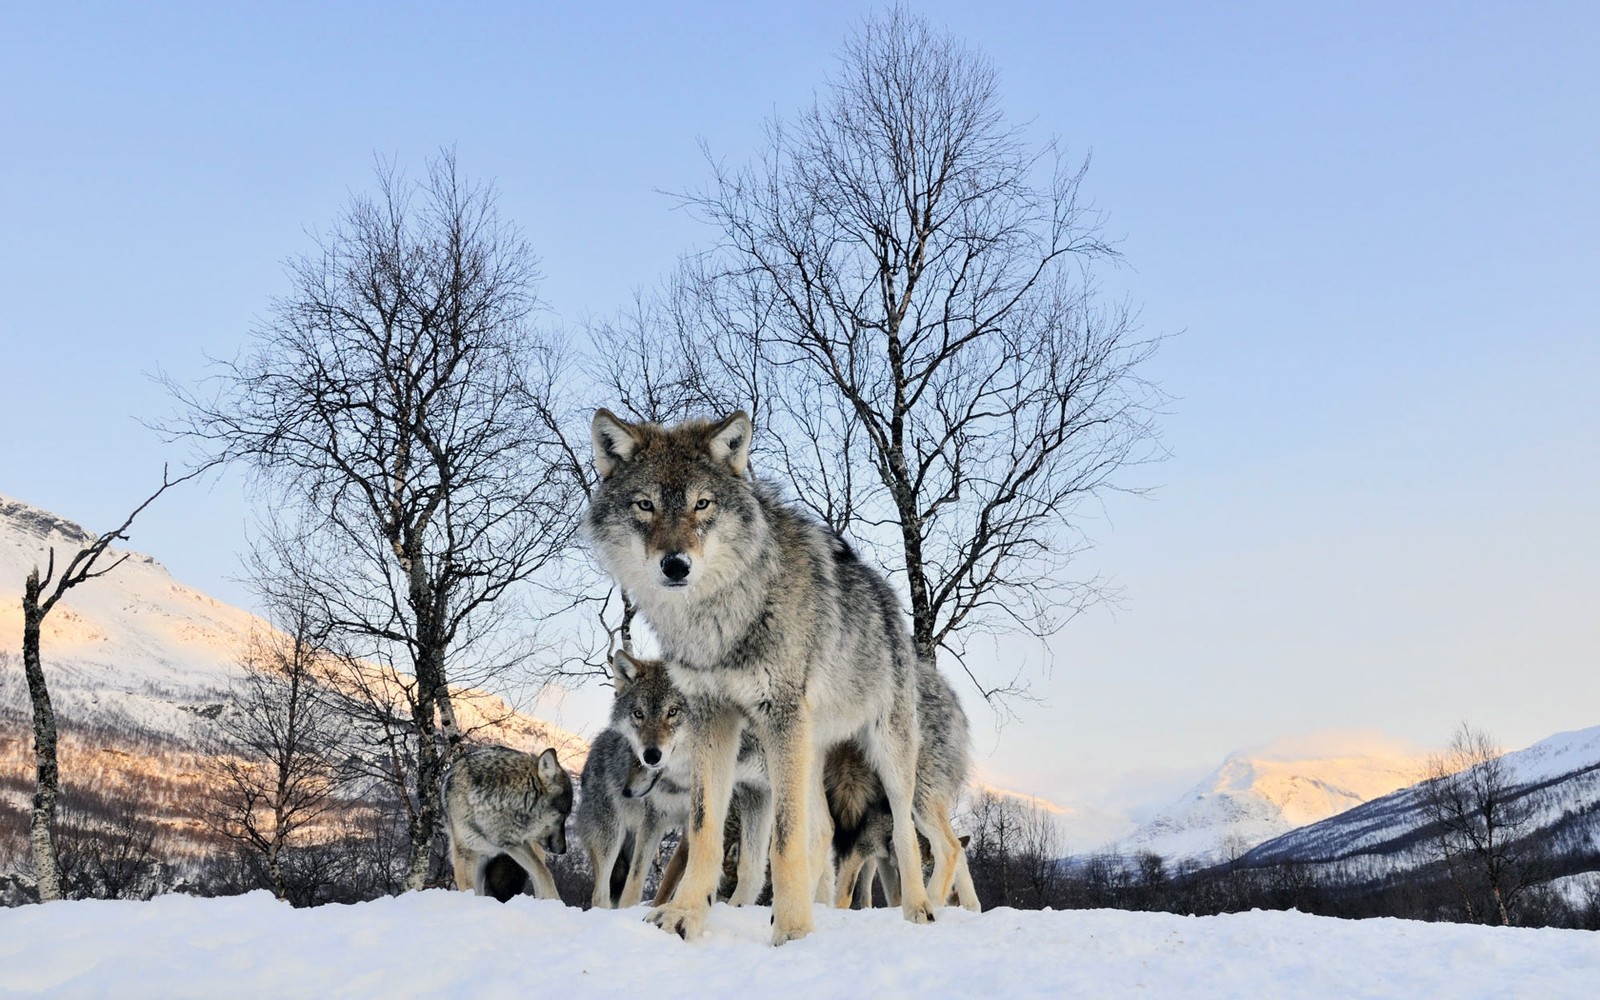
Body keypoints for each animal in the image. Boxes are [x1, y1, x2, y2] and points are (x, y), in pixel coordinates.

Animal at [444, 742, 576, 896]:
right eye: (564, 815)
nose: (563, 850)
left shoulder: (517, 844)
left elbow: (544, 874)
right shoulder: (466, 854)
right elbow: (470, 890)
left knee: (539, 872)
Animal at [579, 652, 771, 908]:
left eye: (672, 712)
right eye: (639, 714)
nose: (626, 791)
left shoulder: (691, 834)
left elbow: (670, 883)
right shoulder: (654, 820)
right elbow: (636, 882)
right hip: (609, 838)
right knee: (599, 892)